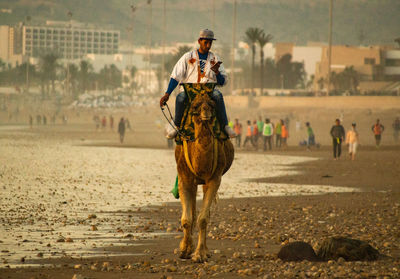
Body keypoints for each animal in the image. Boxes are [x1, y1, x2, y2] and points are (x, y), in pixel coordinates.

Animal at [174, 91, 234, 262]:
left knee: (204, 215)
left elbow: (203, 218)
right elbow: (187, 219)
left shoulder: (214, 179)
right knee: (193, 213)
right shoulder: (184, 178)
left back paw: (205, 251)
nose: (206, 112)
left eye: (212, 104)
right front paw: (184, 250)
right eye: (195, 106)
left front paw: (200, 254)